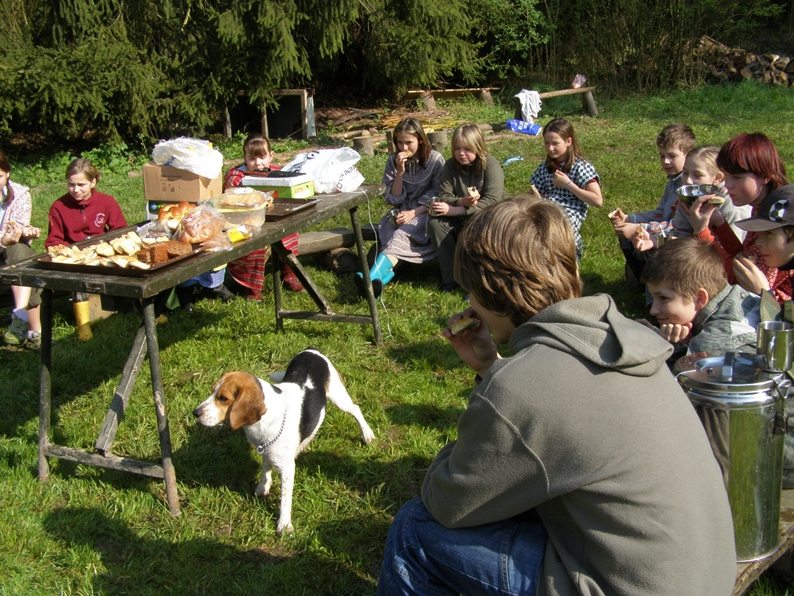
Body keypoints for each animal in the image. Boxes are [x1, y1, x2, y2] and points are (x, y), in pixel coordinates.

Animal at [194, 346, 374, 536]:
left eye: (223, 398)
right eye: (212, 391)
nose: (195, 413)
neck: (267, 417)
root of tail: (311, 349)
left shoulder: (287, 470)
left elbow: (285, 500)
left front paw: (284, 524)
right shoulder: (266, 448)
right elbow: (265, 469)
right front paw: (263, 487)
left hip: (338, 397)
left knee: (355, 409)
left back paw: (367, 433)